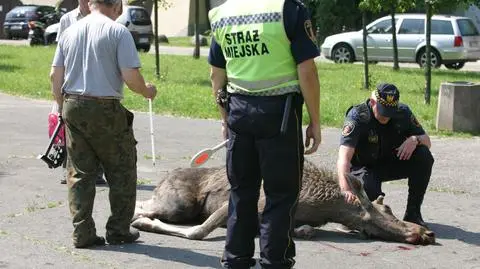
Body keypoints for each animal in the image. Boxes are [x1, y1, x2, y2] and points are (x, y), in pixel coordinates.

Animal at [132, 159, 436, 245]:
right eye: (384, 208)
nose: (426, 232)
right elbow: (198, 232)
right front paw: (145, 224)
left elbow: (303, 229)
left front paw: (304, 231)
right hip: (178, 205)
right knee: (144, 205)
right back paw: (138, 219)